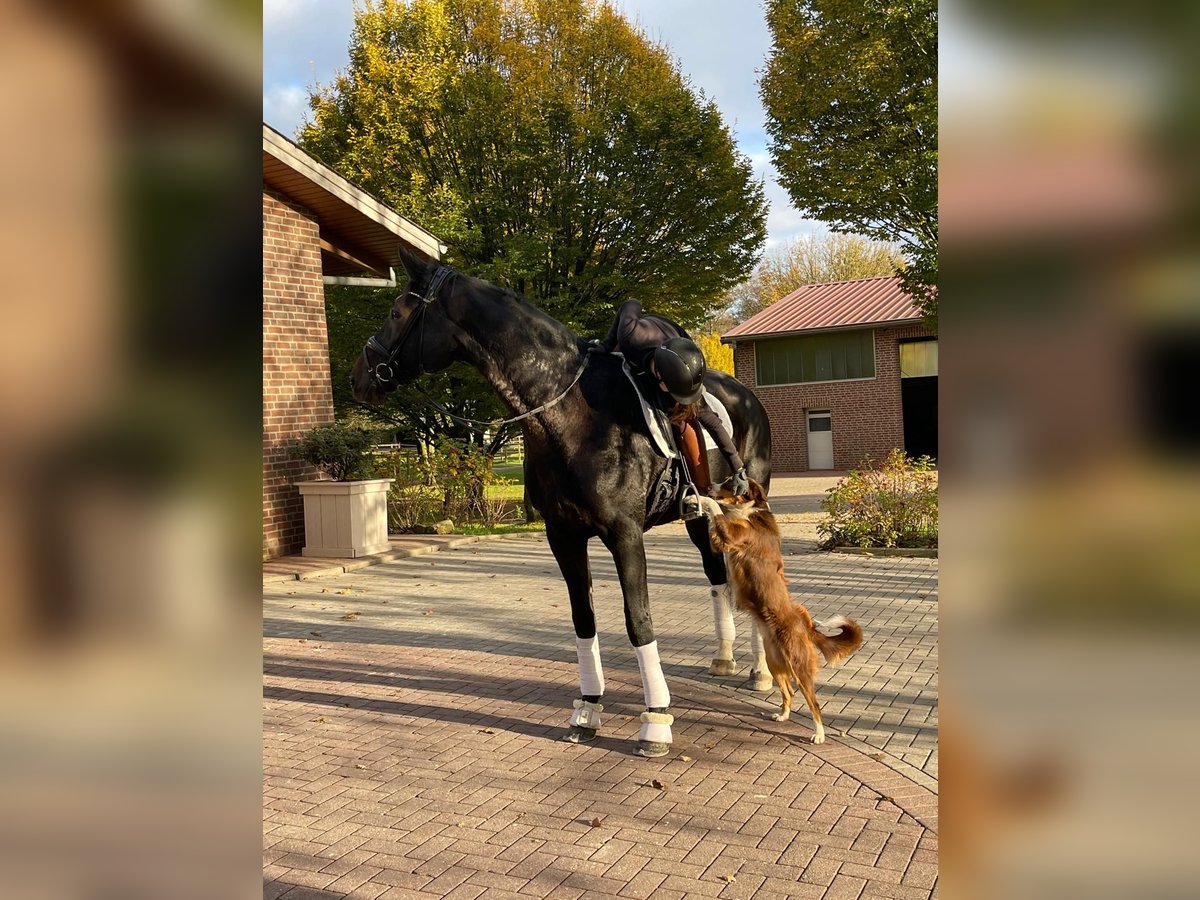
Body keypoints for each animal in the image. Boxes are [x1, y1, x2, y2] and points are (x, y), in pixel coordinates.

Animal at [350, 244, 772, 753]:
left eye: (398, 311)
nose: (358, 377)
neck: (572, 414)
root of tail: (746, 395)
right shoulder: (563, 535)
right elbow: (582, 618)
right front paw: (588, 709)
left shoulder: (624, 535)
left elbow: (638, 620)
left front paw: (656, 720)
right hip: (698, 518)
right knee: (716, 576)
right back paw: (726, 657)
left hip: (746, 508)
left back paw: (761, 672)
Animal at [700, 482, 868, 744]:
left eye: (729, 482)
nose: (708, 485)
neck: (750, 510)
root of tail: (807, 627)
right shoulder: (721, 543)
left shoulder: (734, 535)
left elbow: (717, 511)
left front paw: (700, 499)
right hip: (774, 663)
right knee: (788, 692)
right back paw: (783, 716)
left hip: (799, 668)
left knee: (814, 704)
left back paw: (818, 734)